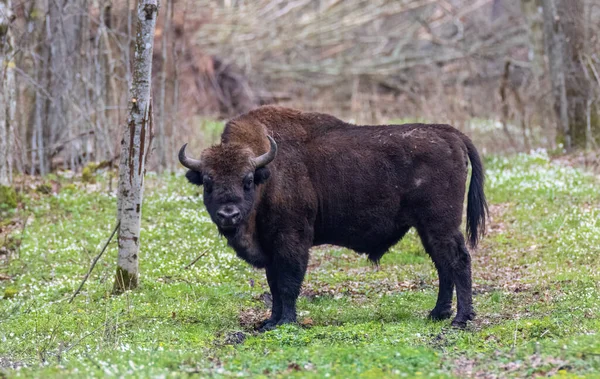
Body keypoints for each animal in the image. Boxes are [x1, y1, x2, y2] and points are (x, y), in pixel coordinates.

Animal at [179, 106, 488, 330]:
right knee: (443, 264)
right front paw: (270, 321)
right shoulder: (270, 248)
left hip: (441, 223)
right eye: (207, 182)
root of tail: (449, 134)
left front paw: (284, 322)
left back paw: (460, 319)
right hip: (426, 228)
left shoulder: (292, 241)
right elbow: (273, 284)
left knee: (458, 260)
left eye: (247, 180)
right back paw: (437, 314)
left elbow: (288, 283)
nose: (228, 214)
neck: (268, 173)